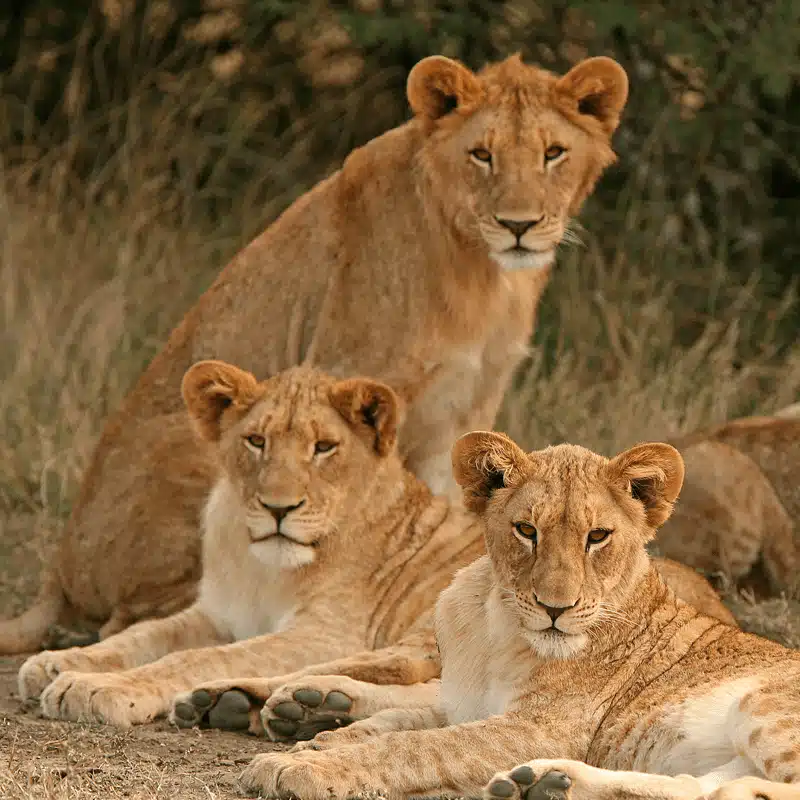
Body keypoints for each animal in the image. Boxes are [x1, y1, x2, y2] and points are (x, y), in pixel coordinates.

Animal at [0, 52, 630, 654]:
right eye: (481, 155)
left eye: (553, 153)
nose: (519, 226)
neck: (485, 272)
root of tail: (57, 571)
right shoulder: (357, 376)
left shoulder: (469, 407)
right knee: (128, 615)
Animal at [17, 362, 733, 732]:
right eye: (256, 441)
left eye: (323, 448)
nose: (278, 508)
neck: (262, 565)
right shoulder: (216, 611)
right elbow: (145, 638)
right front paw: (61, 664)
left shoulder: (328, 629)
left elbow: (189, 658)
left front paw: (96, 688)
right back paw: (255, 706)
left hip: (419, 633)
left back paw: (266, 706)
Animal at [238, 433, 800, 800]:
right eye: (526, 530)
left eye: (598, 536)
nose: (556, 608)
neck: (498, 629)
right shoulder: (468, 705)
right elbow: (402, 721)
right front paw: (318, 735)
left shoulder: (537, 728)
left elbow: (413, 747)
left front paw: (300, 765)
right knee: (694, 786)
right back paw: (545, 783)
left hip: (764, 705)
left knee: (766, 786)